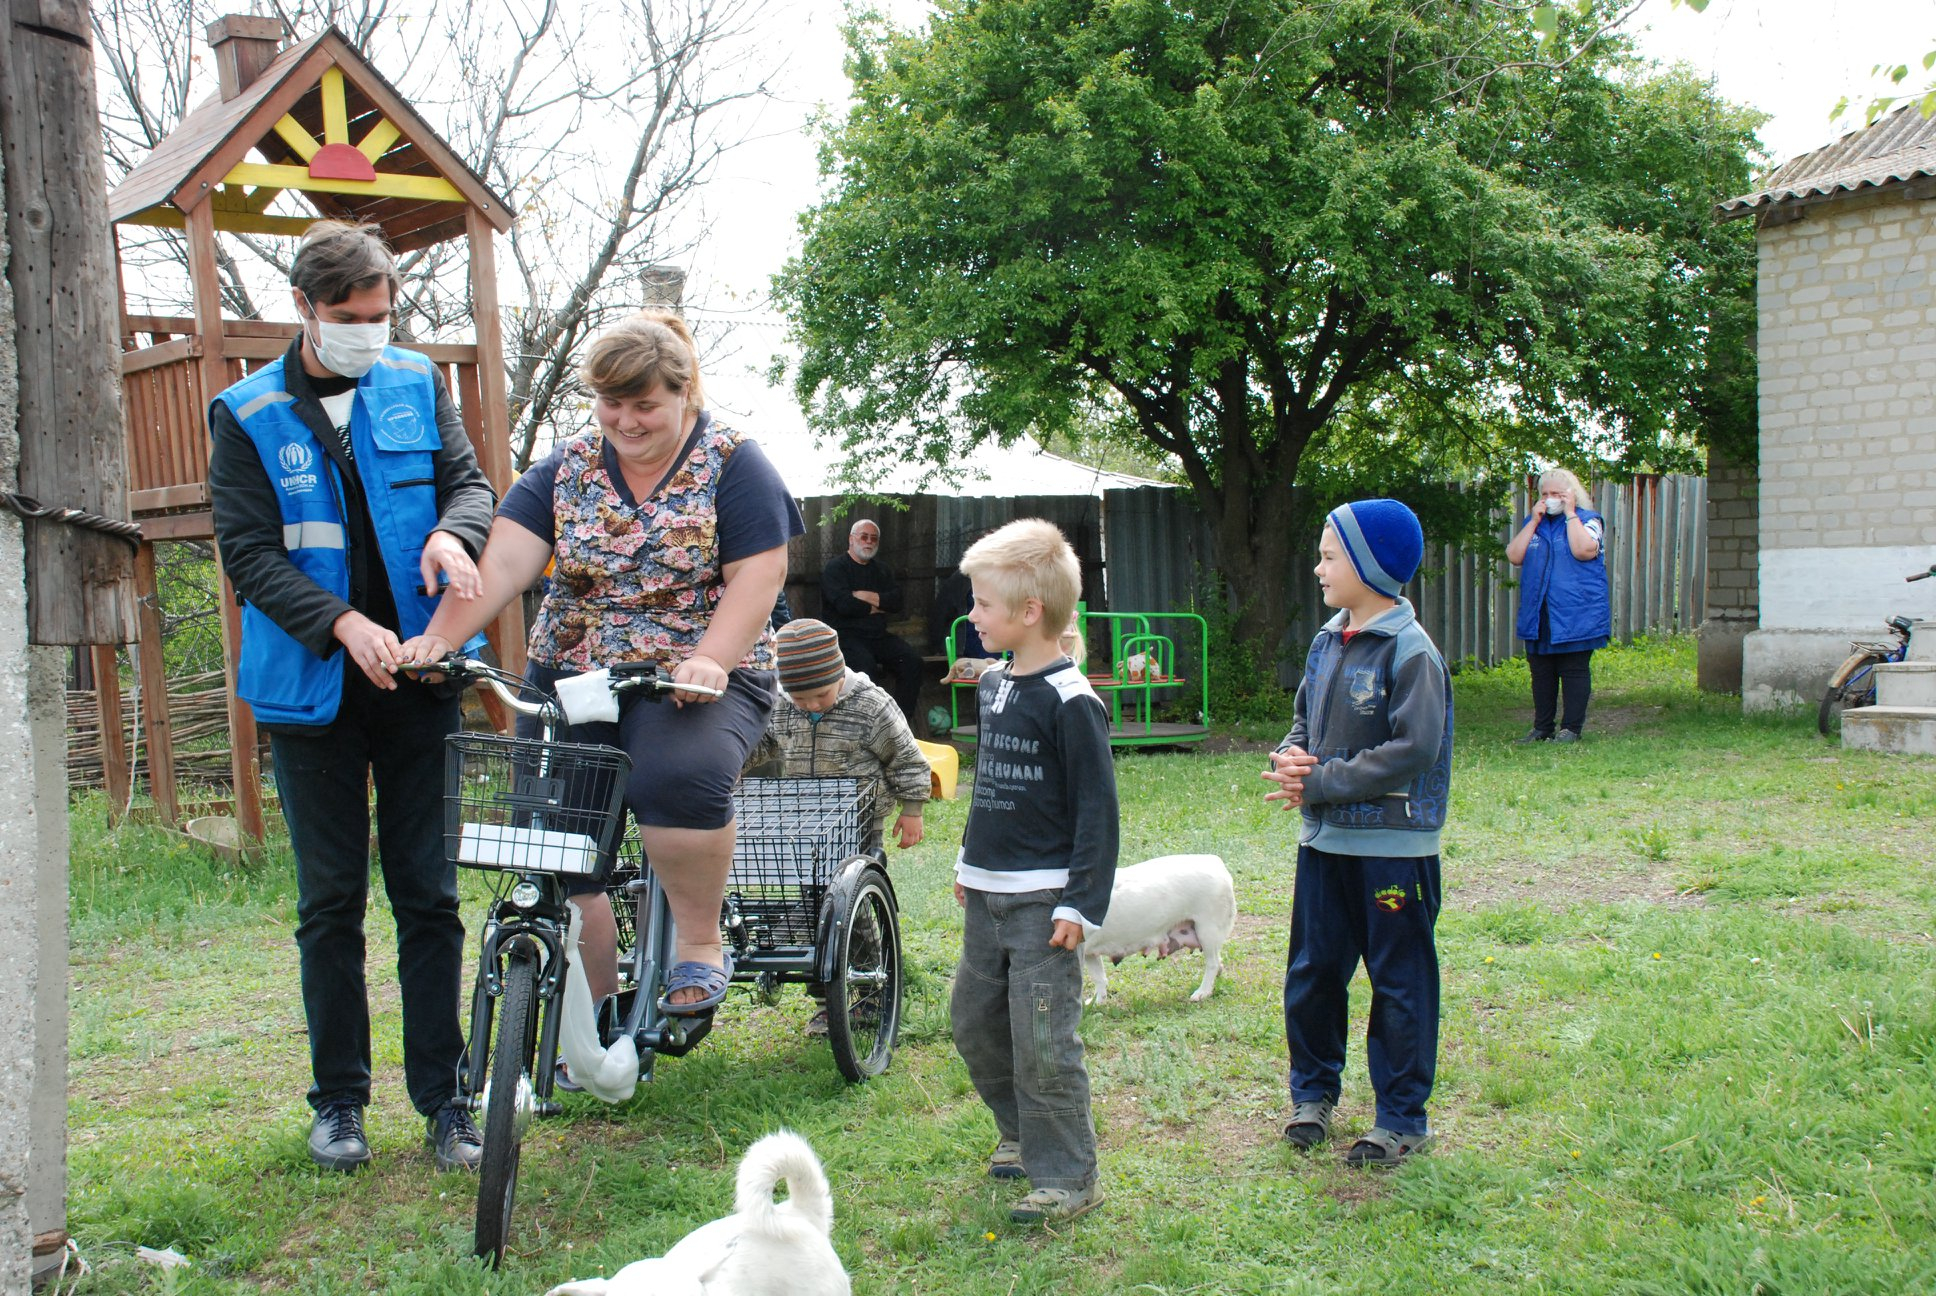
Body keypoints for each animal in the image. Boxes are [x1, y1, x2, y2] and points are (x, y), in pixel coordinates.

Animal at [1084, 852, 1231, 1007]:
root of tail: (1215, 863)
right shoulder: (1088, 953)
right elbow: (1099, 978)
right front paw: (1096, 1002)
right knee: (1218, 961)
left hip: (1207, 931)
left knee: (1213, 963)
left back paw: (1203, 992)